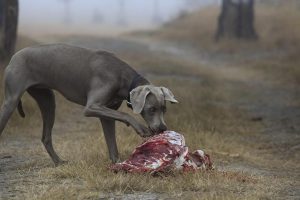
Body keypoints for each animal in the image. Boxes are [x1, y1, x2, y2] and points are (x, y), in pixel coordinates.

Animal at [0, 43, 178, 166]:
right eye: (151, 109)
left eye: (164, 109)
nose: (163, 128)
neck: (123, 78)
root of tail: (14, 56)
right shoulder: (92, 107)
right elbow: (124, 114)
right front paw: (140, 128)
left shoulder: (107, 114)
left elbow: (112, 143)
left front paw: (117, 164)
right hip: (11, 100)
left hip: (47, 100)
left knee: (46, 136)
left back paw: (59, 162)